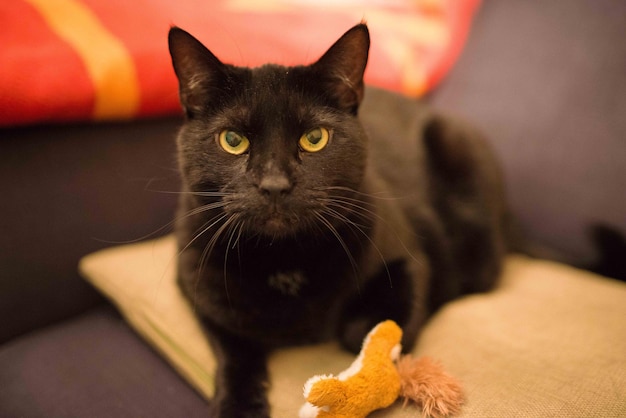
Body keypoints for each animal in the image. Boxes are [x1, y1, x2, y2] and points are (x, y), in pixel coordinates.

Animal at [169, 23, 508, 418]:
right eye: (233, 140)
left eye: (315, 138)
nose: (274, 184)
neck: (283, 261)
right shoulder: (196, 285)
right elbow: (233, 350)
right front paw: (235, 406)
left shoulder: (411, 260)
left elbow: (367, 328)